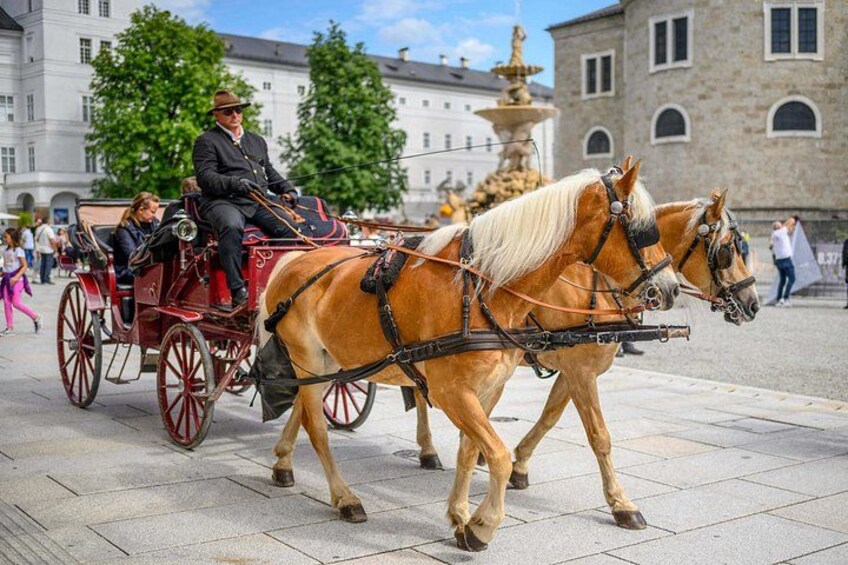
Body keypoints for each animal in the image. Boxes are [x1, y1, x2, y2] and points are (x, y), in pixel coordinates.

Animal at [259, 163, 680, 551]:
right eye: (641, 229)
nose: (670, 288)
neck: (480, 288)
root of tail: (294, 258)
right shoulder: (456, 391)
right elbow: (501, 453)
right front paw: (483, 525)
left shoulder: (490, 388)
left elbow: (471, 448)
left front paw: (460, 516)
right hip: (307, 357)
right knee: (317, 427)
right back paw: (344, 497)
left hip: (330, 363)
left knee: (305, 408)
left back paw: (283, 462)